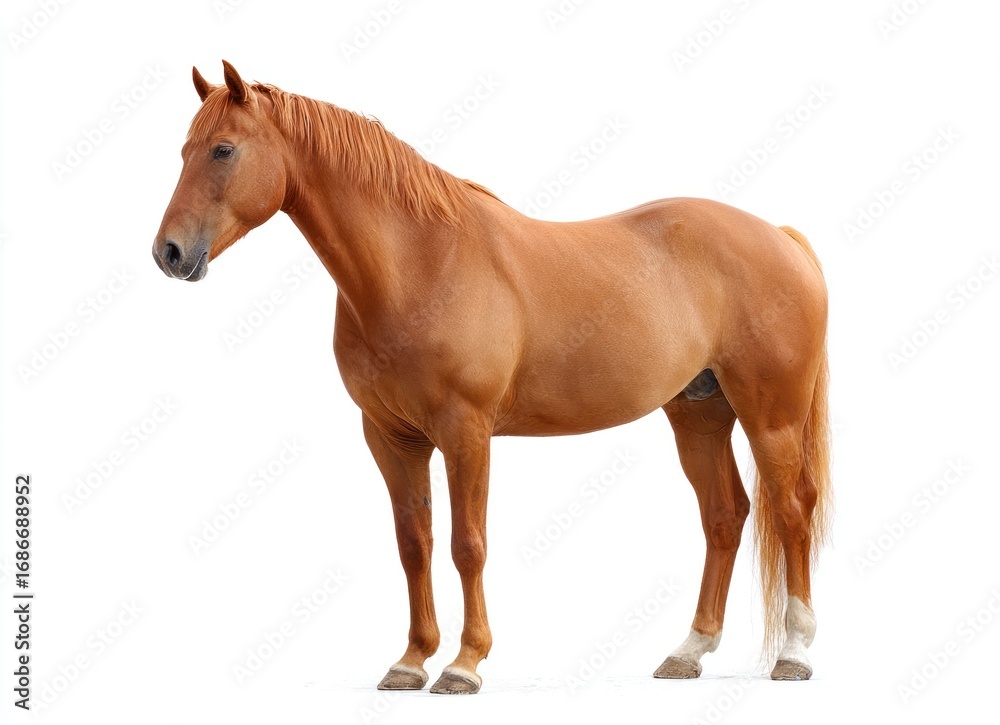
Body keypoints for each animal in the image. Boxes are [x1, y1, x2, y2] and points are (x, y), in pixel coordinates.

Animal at [152, 61, 832, 693]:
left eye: (223, 149)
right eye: (184, 150)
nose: (169, 253)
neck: (419, 264)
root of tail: (781, 238)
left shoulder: (467, 432)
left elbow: (467, 545)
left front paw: (464, 664)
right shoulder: (390, 437)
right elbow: (414, 545)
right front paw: (410, 661)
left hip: (771, 417)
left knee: (792, 509)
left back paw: (795, 654)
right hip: (699, 414)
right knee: (724, 515)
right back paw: (688, 652)